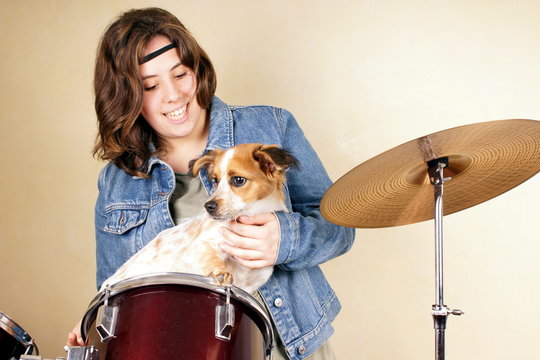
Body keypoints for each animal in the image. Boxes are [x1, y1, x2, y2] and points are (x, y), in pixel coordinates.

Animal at [99, 142, 298, 294]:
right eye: (215, 180)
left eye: (238, 180)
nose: (209, 207)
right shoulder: (201, 246)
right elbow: (213, 259)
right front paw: (221, 272)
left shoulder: (250, 285)